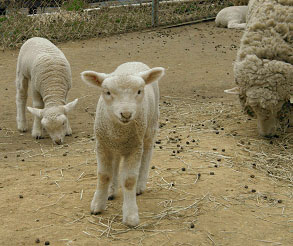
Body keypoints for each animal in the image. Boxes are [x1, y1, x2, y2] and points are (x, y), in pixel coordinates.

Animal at [80, 62, 164, 227]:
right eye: (107, 92)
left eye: (139, 91)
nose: (126, 114)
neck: (120, 131)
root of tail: (135, 62)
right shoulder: (102, 145)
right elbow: (103, 175)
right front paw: (98, 204)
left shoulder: (135, 147)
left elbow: (129, 181)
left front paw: (131, 216)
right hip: (115, 145)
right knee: (115, 162)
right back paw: (111, 191)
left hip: (150, 127)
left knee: (147, 153)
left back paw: (140, 186)